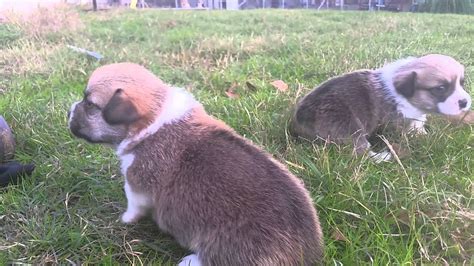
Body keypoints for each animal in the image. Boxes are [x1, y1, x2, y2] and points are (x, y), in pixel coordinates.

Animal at [68, 62, 324, 266]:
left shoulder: (137, 183)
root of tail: (302, 255)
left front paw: (126, 219)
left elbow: (134, 205)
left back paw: (190, 260)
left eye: (89, 104)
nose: (69, 109)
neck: (153, 119)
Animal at [290, 53, 472, 162]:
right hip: (350, 127)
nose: (465, 102)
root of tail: (299, 122)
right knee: (361, 151)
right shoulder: (398, 122)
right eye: (440, 88)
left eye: (462, 83)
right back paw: (383, 156)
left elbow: (419, 125)